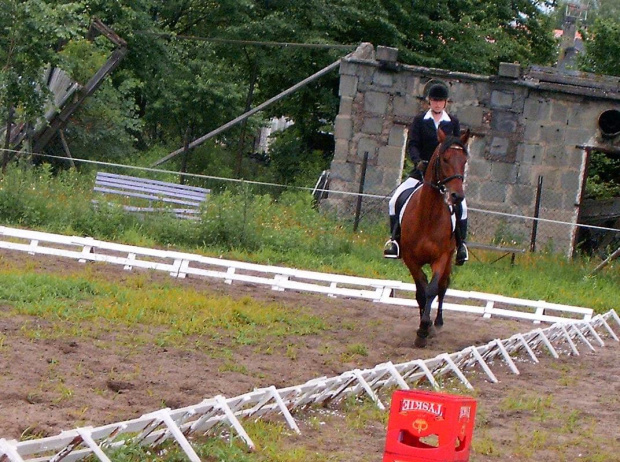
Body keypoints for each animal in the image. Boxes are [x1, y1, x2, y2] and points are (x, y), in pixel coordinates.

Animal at [398, 128, 470, 348]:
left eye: (464, 161)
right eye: (444, 159)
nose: (457, 196)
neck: (428, 216)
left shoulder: (442, 257)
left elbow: (432, 289)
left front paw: (425, 329)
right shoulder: (411, 259)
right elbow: (421, 292)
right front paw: (423, 326)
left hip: (450, 257)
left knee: (443, 287)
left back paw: (437, 323)